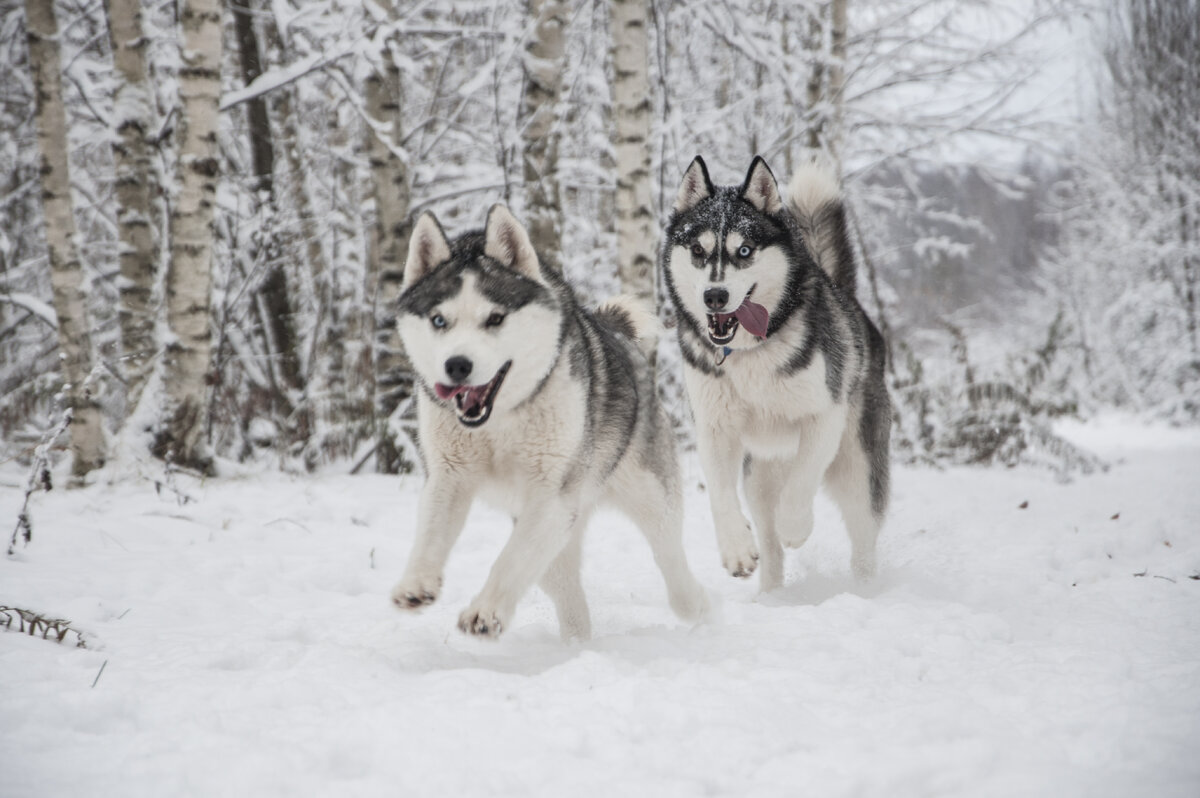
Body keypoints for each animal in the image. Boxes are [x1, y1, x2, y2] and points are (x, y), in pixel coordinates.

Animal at [393, 202, 705, 638]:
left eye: (495, 318)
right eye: (439, 320)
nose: (456, 366)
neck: (499, 421)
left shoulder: (552, 496)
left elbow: (509, 560)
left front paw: (485, 612)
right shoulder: (450, 477)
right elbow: (430, 536)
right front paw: (416, 584)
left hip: (647, 498)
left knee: (671, 561)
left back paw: (701, 609)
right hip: (559, 535)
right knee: (564, 588)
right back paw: (576, 644)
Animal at [667, 157, 892, 590]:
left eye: (744, 250)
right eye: (698, 250)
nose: (715, 296)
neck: (748, 353)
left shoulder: (825, 414)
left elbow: (802, 478)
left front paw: (795, 526)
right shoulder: (714, 428)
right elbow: (719, 494)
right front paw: (736, 548)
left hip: (856, 465)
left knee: (863, 536)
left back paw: (865, 588)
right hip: (759, 477)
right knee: (768, 541)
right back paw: (769, 595)